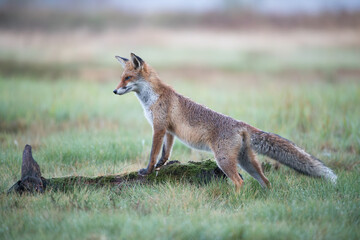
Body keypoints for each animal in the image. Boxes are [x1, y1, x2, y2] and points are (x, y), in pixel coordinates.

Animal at [113, 52, 338, 191]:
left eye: (127, 78)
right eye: (121, 77)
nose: (114, 91)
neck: (152, 98)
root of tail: (241, 125)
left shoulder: (158, 128)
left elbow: (152, 153)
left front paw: (148, 171)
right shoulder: (168, 130)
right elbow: (165, 153)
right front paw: (162, 165)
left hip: (224, 160)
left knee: (239, 182)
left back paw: (235, 200)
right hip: (246, 162)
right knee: (265, 180)